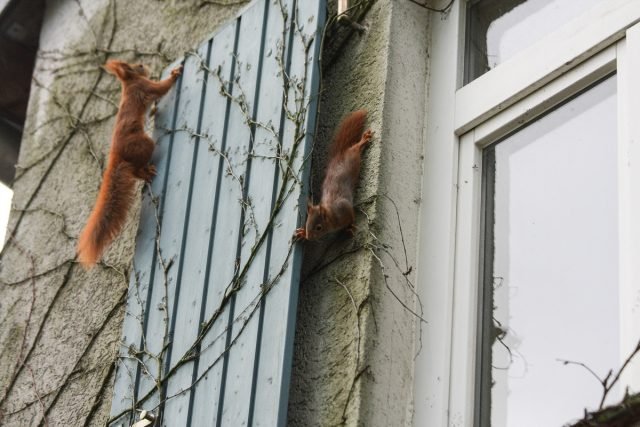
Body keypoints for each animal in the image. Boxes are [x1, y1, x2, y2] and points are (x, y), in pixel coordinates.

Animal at [78, 60, 182, 268]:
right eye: (139, 65)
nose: (147, 66)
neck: (129, 82)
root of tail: (116, 156)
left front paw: (155, 109)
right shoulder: (145, 86)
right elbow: (161, 88)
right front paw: (175, 74)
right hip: (144, 144)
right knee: (136, 169)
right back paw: (147, 171)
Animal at [296, 109, 376, 241]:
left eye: (319, 227)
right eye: (307, 224)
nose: (308, 237)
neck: (332, 215)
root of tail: (340, 155)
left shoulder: (344, 209)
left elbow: (351, 216)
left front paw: (350, 226)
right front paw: (301, 233)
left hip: (353, 157)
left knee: (356, 147)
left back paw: (364, 139)